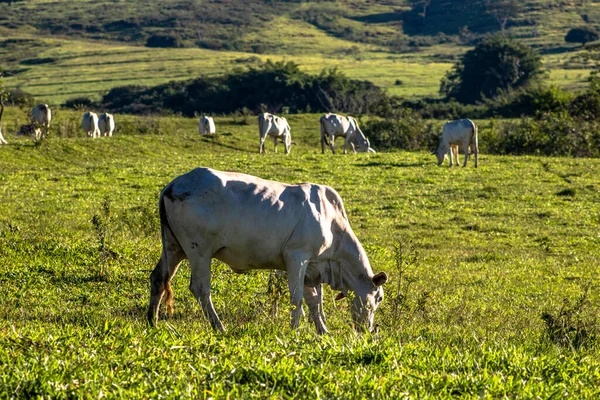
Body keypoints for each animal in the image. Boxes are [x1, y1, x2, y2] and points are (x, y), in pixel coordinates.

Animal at [147, 167, 386, 332]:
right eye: (379, 298)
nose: (369, 330)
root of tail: (174, 185)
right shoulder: (297, 258)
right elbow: (297, 298)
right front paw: (295, 330)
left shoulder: (313, 269)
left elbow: (315, 303)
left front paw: (323, 331)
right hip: (199, 251)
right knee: (200, 288)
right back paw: (219, 326)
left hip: (174, 247)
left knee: (158, 277)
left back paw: (152, 321)